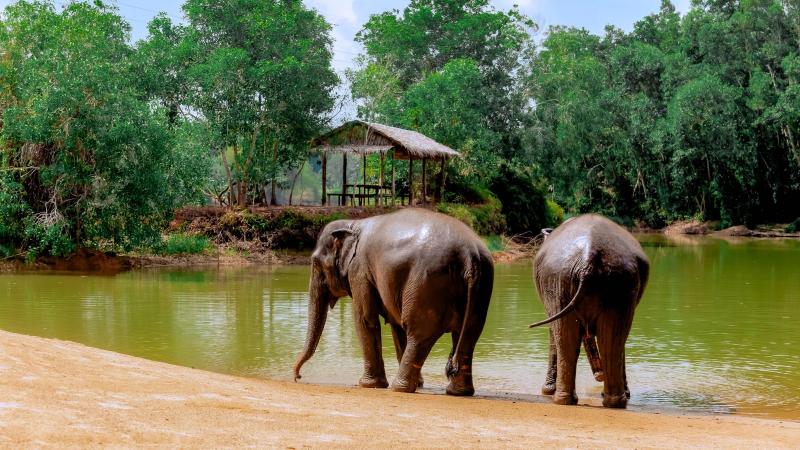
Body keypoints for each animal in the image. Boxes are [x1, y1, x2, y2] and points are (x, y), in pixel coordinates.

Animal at [293, 208, 494, 396]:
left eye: (315, 263)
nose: (298, 377)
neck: (353, 224)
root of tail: (469, 255)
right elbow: (396, 326)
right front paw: (419, 384)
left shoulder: (359, 270)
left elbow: (365, 319)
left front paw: (368, 385)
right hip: (480, 288)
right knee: (468, 335)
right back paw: (457, 392)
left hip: (426, 285)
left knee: (419, 334)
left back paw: (400, 388)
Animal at [529, 214, 649, 408]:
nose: (599, 376)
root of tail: (589, 255)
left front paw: (547, 391)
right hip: (610, 282)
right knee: (608, 339)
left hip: (571, 281)